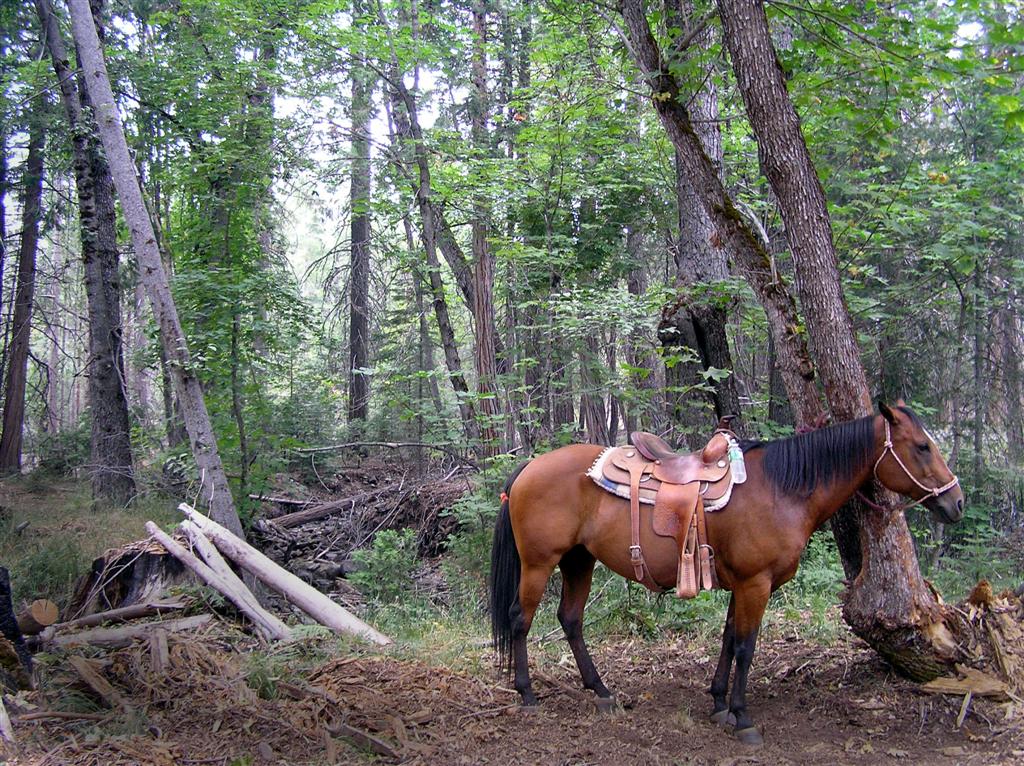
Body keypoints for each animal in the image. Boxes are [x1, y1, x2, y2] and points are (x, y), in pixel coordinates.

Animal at [489, 402, 963, 746]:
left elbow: (728, 639)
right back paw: (527, 693)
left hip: (578, 561)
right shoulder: (757, 583)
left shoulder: (742, 583)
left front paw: (719, 703)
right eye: (922, 446)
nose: (955, 501)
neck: (782, 488)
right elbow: (746, 647)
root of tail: (528, 468)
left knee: (570, 619)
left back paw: (601, 691)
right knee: (520, 619)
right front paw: (743, 717)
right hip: (540, 563)